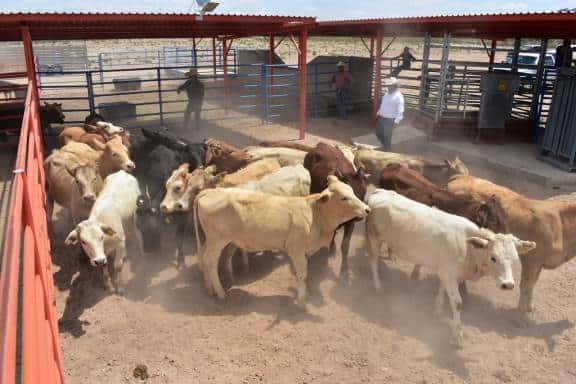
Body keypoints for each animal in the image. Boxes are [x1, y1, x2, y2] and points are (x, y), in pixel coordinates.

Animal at [195, 176, 374, 306]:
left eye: (352, 191)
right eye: (343, 198)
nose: (367, 209)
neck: (316, 215)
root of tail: (210, 191)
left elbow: (305, 275)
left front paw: (306, 293)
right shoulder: (297, 250)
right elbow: (302, 274)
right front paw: (301, 301)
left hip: (211, 240)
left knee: (203, 257)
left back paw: (209, 289)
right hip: (218, 240)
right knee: (210, 261)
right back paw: (220, 292)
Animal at [302, 142, 368, 280]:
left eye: (364, 191)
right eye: (345, 196)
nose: (359, 216)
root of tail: (321, 145)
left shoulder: (350, 223)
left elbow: (345, 246)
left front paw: (344, 270)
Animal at [366, 190, 536, 346]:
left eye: (515, 259)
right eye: (493, 257)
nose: (508, 284)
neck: (469, 249)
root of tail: (378, 192)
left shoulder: (447, 273)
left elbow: (442, 289)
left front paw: (437, 309)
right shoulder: (449, 274)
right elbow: (457, 303)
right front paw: (457, 336)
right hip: (374, 238)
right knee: (373, 261)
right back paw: (377, 286)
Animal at [448, 176, 576, 314]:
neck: (561, 225)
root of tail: (462, 177)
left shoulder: (538, 263)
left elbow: (532, 285)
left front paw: (529, 308)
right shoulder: (532, 261)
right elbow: (526, 286)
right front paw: (521, 313)